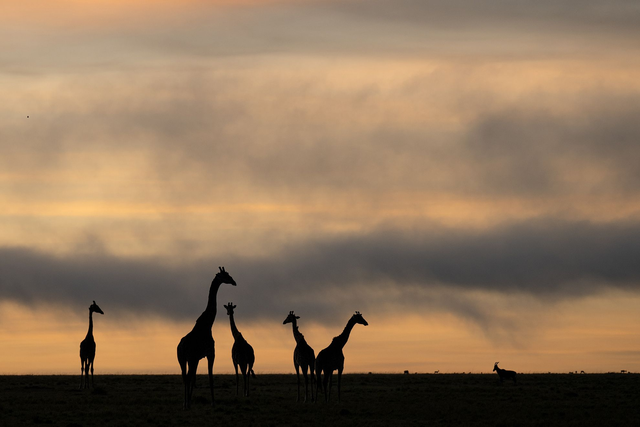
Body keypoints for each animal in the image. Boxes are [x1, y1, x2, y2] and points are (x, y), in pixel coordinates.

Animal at [177, 267, 236, 409]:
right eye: (225, 275)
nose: (234, 282)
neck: (208, 324)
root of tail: (180, 347)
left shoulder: (199, 357)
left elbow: (195, 377)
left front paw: (190, 400)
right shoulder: (211, 353)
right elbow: (210, 377)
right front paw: (213, 402)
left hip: (182, 359)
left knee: (185, 377)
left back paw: (185, 403)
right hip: (190, 358)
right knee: (187, 377)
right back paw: (186, 404)